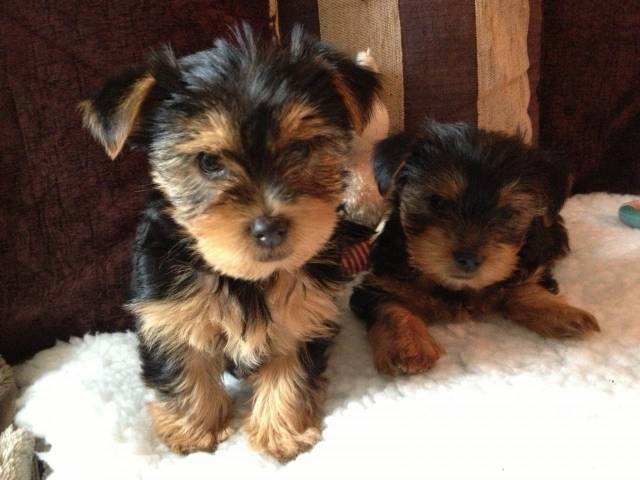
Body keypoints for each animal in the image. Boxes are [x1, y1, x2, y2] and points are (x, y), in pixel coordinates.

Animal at [80, 27, 380, 462]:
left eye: (301, 149)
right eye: (208, 162)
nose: (270, 227)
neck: (245, 279)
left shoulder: (303, 312)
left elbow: (290, 370)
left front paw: (281, 432)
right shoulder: (168, 311)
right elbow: (183, 364)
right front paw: (195, 430)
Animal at [350, 120, 600, 376]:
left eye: (506, 213)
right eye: (437, 202)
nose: (468, 259)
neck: (457, 287)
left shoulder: (526, 267)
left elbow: (523, 287)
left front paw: (563, 314)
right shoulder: (381, 281)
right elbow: (390, 306)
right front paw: (406, 346)